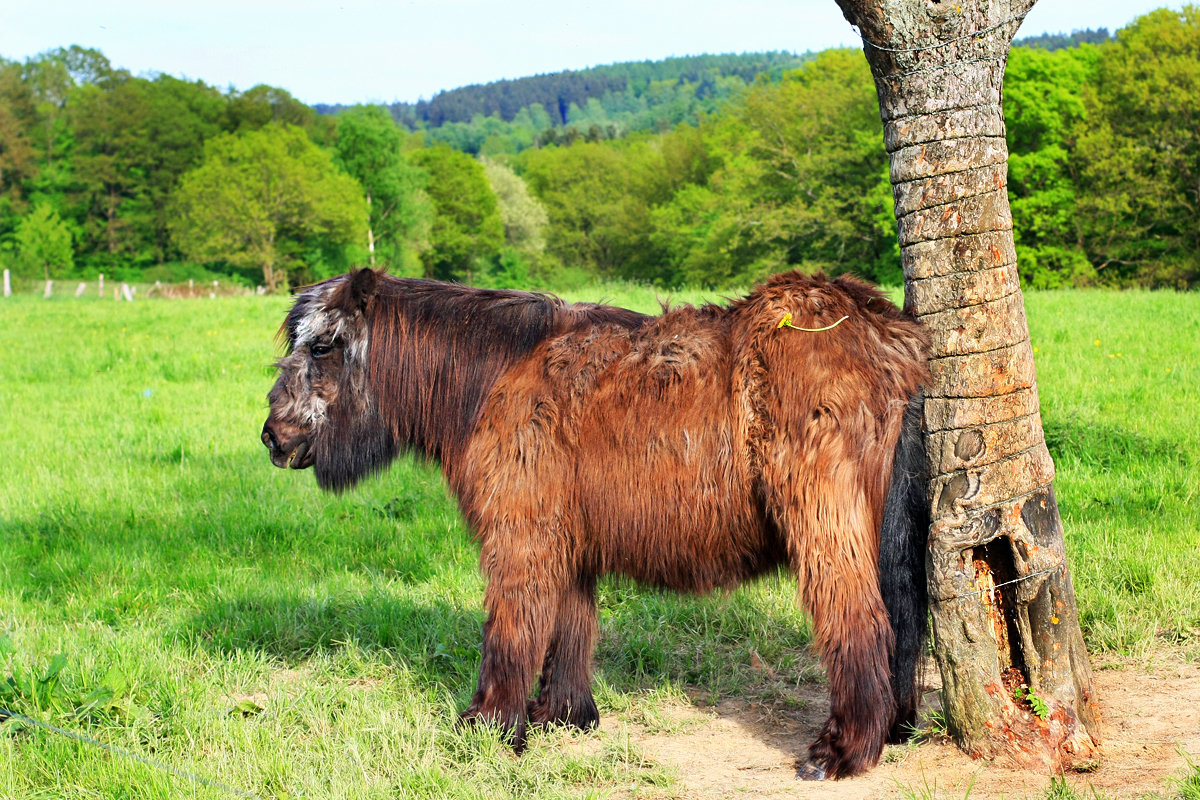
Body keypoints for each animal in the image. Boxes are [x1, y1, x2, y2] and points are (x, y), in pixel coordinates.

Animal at [267, 271, 931, 782]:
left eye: (322, 347)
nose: (273, 437)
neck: (491, 374)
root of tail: (887, 335)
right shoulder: (567, 543)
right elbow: (570, 627)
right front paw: (560, 716)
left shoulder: (522, 538)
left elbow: (511, 633)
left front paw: (489, 727)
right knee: (899, 622)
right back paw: (892, 728)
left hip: (822, 523)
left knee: (859, 622)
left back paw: (844, 750)